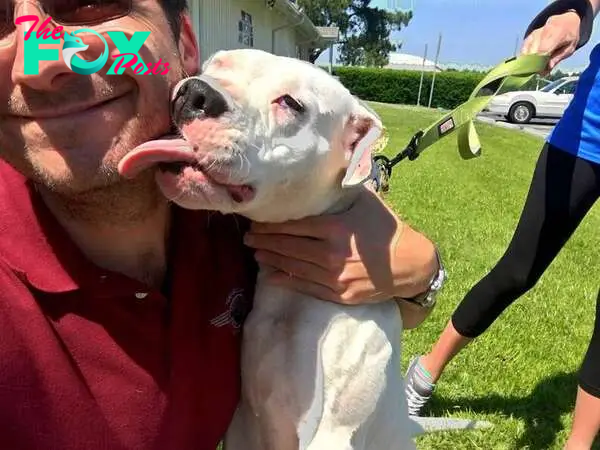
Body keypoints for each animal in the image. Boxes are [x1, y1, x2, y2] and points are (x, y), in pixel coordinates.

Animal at [118, 49, 478, 450]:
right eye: (216, 66)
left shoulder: (333, 433)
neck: (295, 293)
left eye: (291, 104)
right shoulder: (244, 424)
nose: (195, 91)